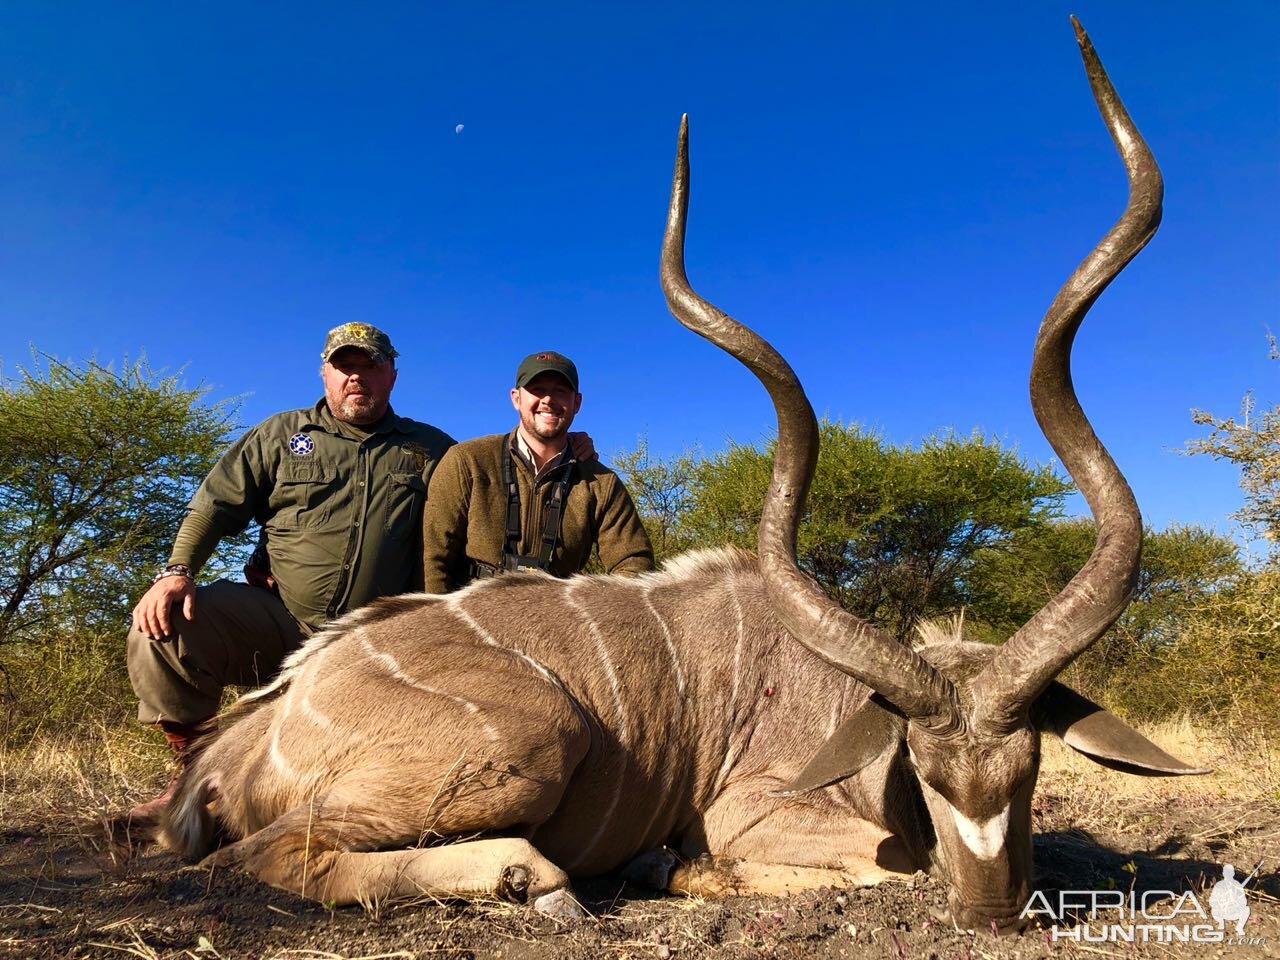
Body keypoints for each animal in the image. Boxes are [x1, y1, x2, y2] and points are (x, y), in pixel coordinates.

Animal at [147, 18, 1198, 926]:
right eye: (927, 772)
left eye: (1029, 772)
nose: (989, 910)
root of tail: (243, 745)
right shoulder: (756, 809)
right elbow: (884, 862)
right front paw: (678, 865)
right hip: (532, 737)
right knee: (271, 852)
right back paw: (539, 879)